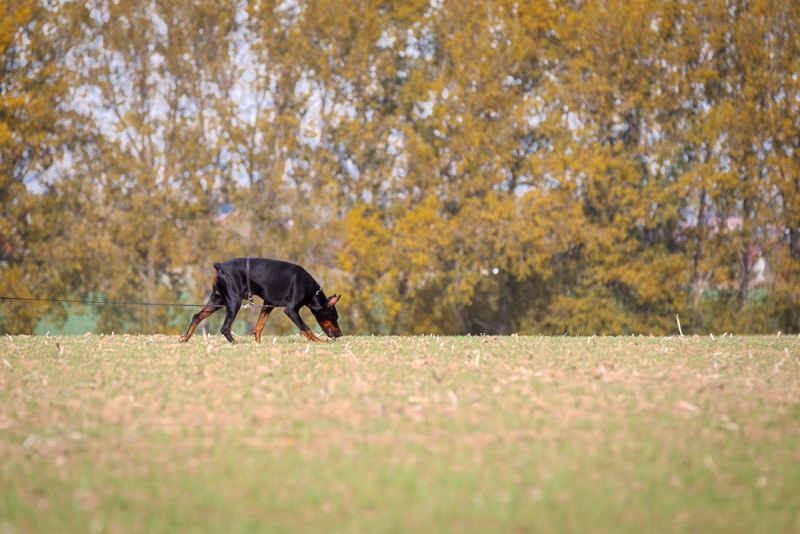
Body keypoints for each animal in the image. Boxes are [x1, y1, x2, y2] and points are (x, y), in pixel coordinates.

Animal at [178, 258, 340, 344]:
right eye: (334, 317)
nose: (340, 334)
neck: (311, 291)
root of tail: (220, 266)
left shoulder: (268, 304)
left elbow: (259, 326)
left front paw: (258, 343)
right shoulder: (291, 310)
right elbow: (306, 328)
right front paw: (319, 341)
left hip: (218, 300)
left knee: (197, 316)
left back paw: (185, 338)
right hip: (234, 301)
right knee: (225, 327)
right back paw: (236, 343)